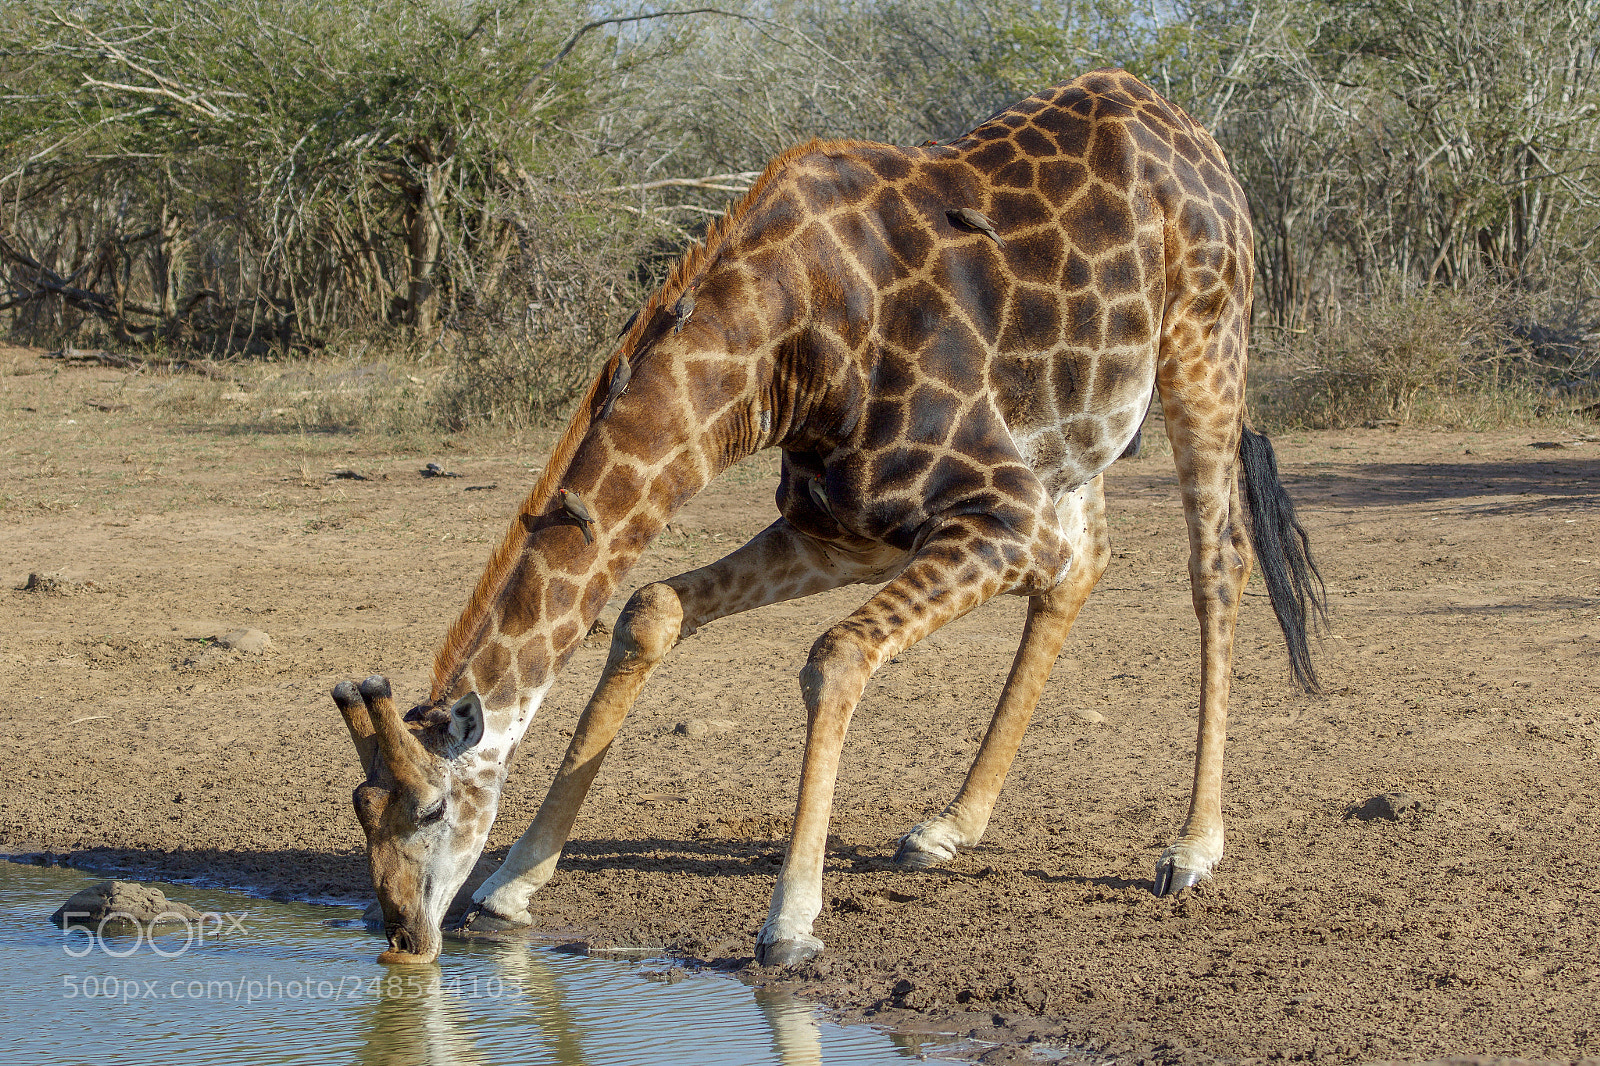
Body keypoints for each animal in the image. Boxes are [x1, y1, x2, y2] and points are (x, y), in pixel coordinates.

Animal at [333, 68, 1325, 966]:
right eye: (359, 808)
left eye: (430, 808)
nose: (403, 936)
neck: (779, 352)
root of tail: (1189, 131)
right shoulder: (842, 528)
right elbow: (651, 607)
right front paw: (512, 883)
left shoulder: (999, 516)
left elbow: (836, 655)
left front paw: (791, 923)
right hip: (1073, 434)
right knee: (1081, 568)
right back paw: (950, 826)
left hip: (1205, 344)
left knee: (1217, 560)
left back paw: (1192, 849)